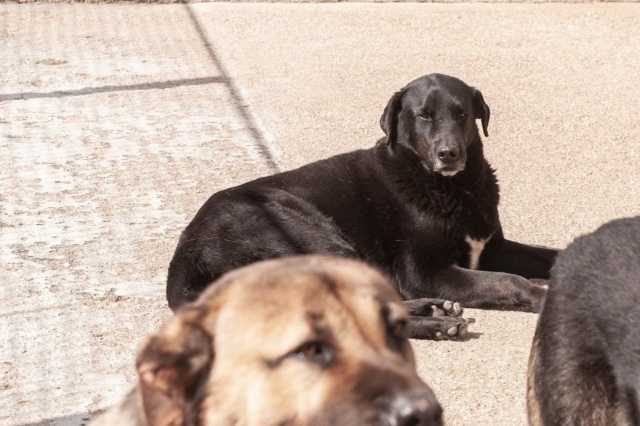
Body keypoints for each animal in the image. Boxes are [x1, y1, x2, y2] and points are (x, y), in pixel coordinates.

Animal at [168, 72, 556, 340]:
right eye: (424, 115)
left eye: (462, 113)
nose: (449, 153)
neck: (450, 187)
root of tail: (185, 256)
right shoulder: (424, 273)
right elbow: (508, 281)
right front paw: (541, 297)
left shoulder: (494, 248)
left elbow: (550, 254)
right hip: (315, 237)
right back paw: (436, 323)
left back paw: (434, 310)